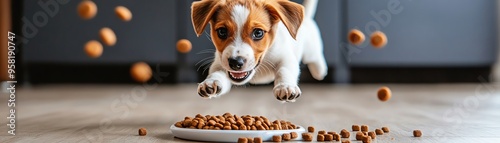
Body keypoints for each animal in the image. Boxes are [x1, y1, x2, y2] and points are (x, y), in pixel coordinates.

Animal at [189, 0, 326, 102]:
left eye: (258, 33)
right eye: (222, 31)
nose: (235, 62)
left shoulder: (286, 58)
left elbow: (284, 71)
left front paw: (285, 86)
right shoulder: (220, 63)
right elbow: (217, 73)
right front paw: (211, 82)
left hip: (311, 51)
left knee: (316, 58)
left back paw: (320, 71)